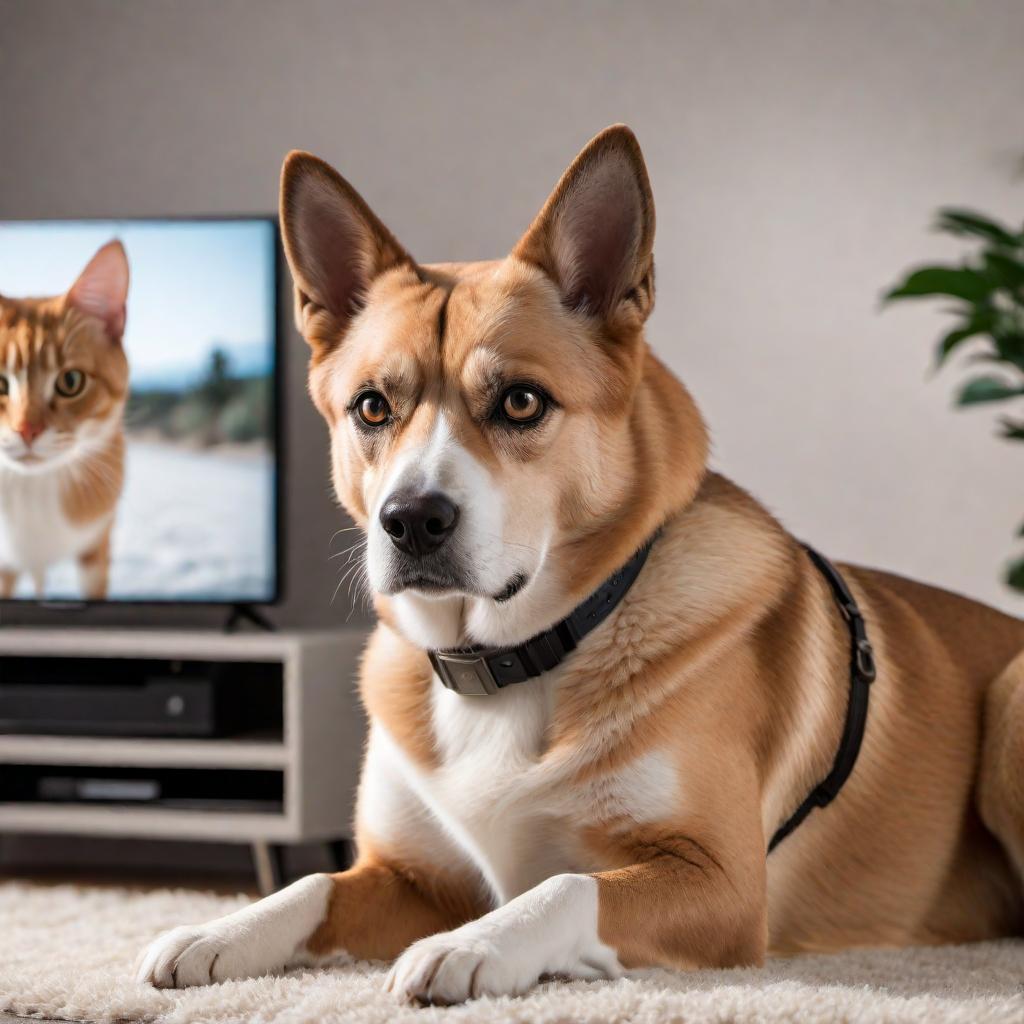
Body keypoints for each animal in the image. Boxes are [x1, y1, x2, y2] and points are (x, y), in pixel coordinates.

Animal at [136, 125, 1024, 999]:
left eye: (522, 401)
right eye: (372, 407)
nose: (411, 521)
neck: (507, 660)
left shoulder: (723, 882)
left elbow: (566, 885)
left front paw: (472, 945)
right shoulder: (412, 876)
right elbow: (313, 884)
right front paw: (216, 932)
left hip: (1010, 700)